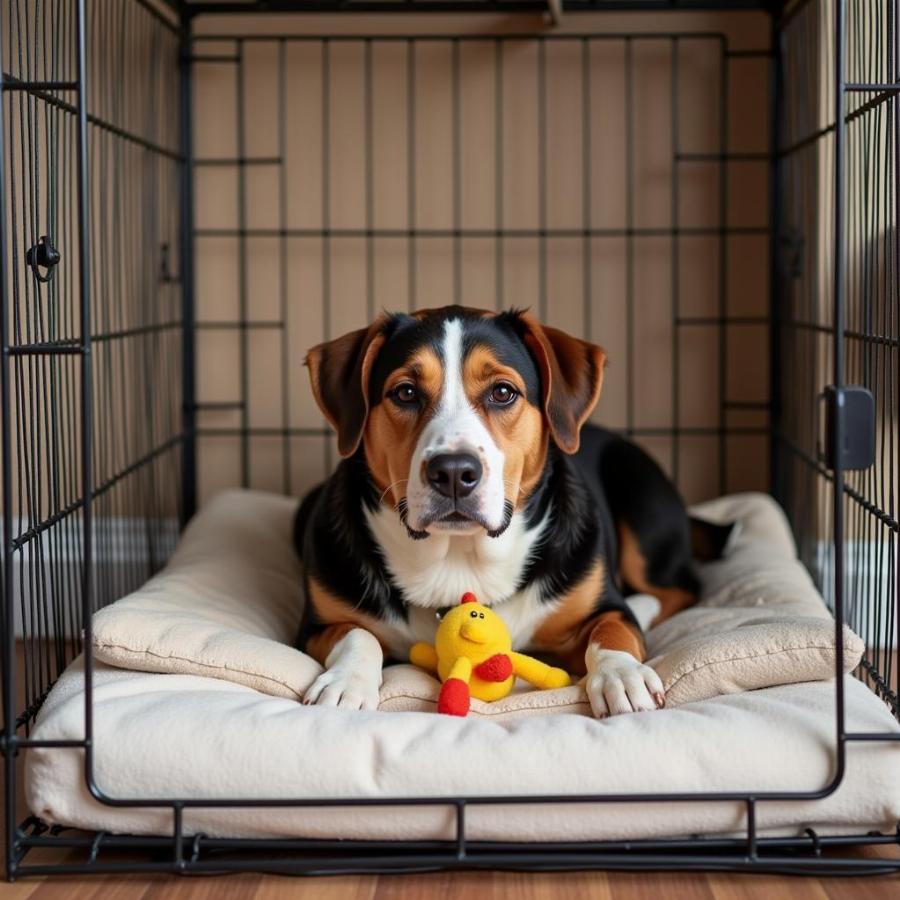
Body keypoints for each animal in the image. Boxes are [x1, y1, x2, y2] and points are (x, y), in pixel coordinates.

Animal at [296, 308, 732, 716]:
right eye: (404, 393)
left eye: (502, 392)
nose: (453, 473)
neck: (459, 559)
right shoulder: (316, 625)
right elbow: (359, 635)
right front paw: (346, 683)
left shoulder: (599, 606)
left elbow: (612, 630)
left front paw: (622, 675)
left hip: (642, 504)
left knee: (679, 588)